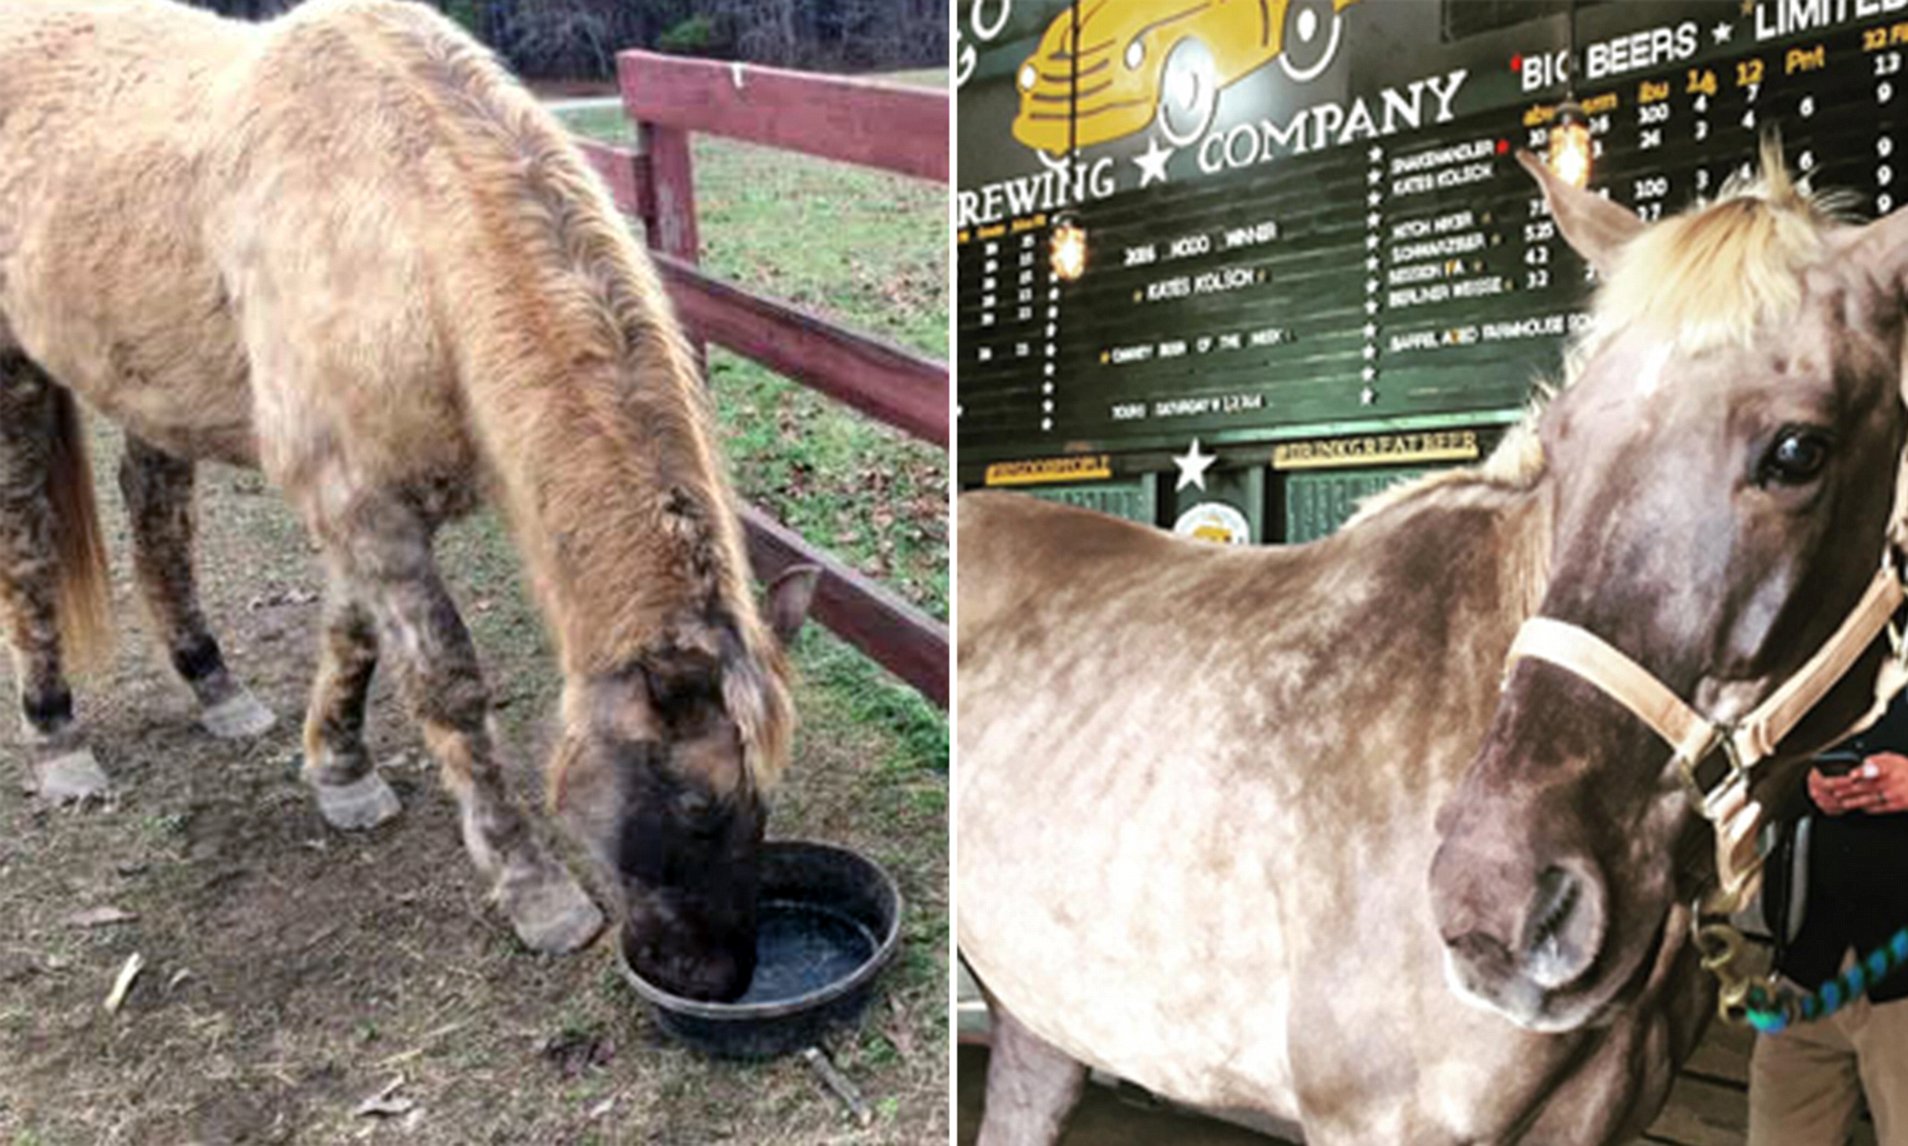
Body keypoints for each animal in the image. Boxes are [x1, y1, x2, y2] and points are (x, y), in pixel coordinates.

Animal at [0, 0, 812, 999]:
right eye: (697, 805)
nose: (718, 980)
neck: (406, 235)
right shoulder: (361, 502)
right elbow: (448, 685)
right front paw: (534, 888)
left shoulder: (369, 505)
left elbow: (355, 638)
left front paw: (339, 773)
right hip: (16, 372)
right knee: (29, 539)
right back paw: (57, 738)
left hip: (151, 382)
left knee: (155, 513)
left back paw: (214, 685)